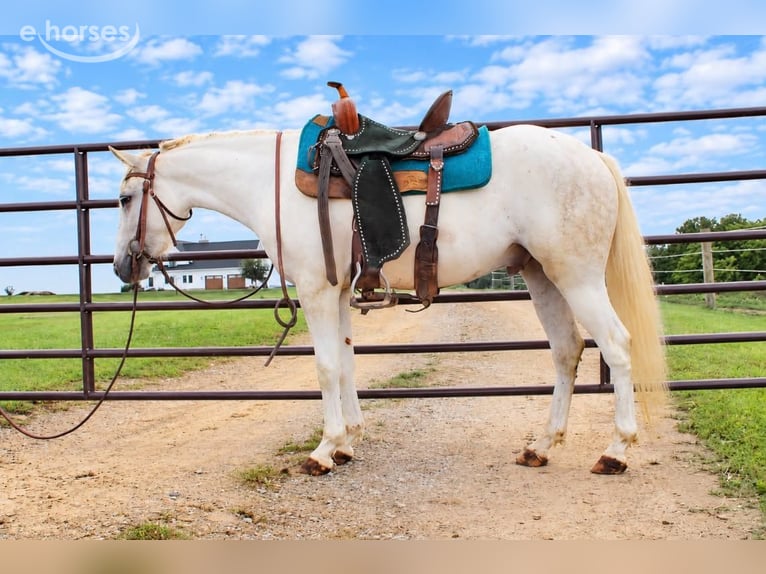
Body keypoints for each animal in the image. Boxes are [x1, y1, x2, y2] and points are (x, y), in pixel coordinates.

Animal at [111, 122, 667, 476]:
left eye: (122, 198)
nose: (122, 267)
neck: (274, 185)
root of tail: (592, 158)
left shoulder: (316, 290)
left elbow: (325, 368)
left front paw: (323, 450)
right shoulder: (338, 292)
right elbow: (346, 362)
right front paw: (348, 442)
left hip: (576, 276)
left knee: (616, 345)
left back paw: (616, 451)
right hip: (542, 276)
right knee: (566, 350)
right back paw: (542, 446)